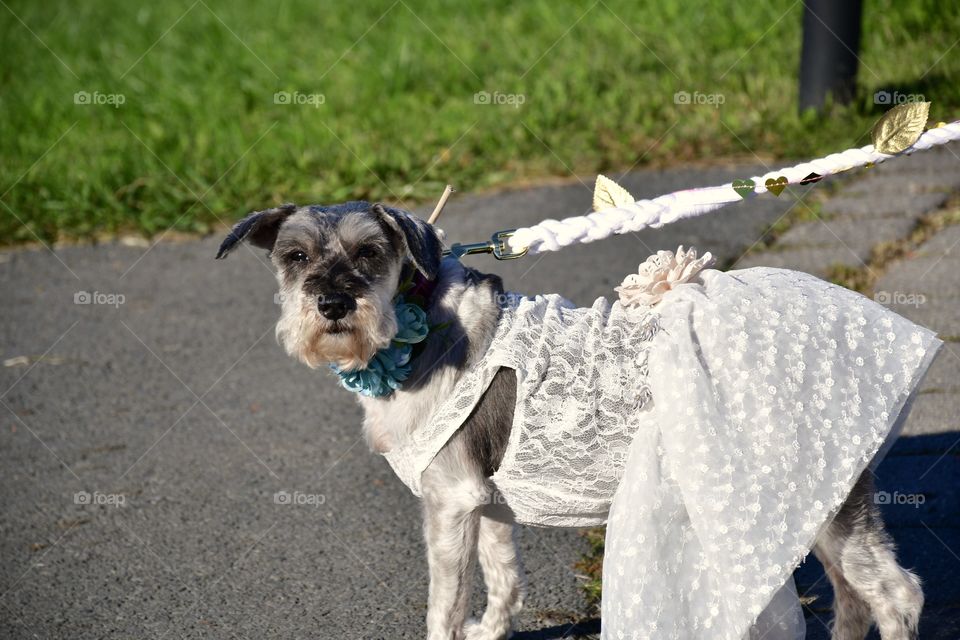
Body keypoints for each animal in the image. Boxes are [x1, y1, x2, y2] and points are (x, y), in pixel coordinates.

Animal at [216, 202, 924, 640]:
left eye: (369, 253)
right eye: (295, 257)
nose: (334, 304)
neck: (414, 336)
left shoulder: (448, 503)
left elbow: (444, 605)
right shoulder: (484, 502)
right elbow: (503, 580)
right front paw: (491, 629)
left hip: (828, 502)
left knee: (896, 594)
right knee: (853, 596)